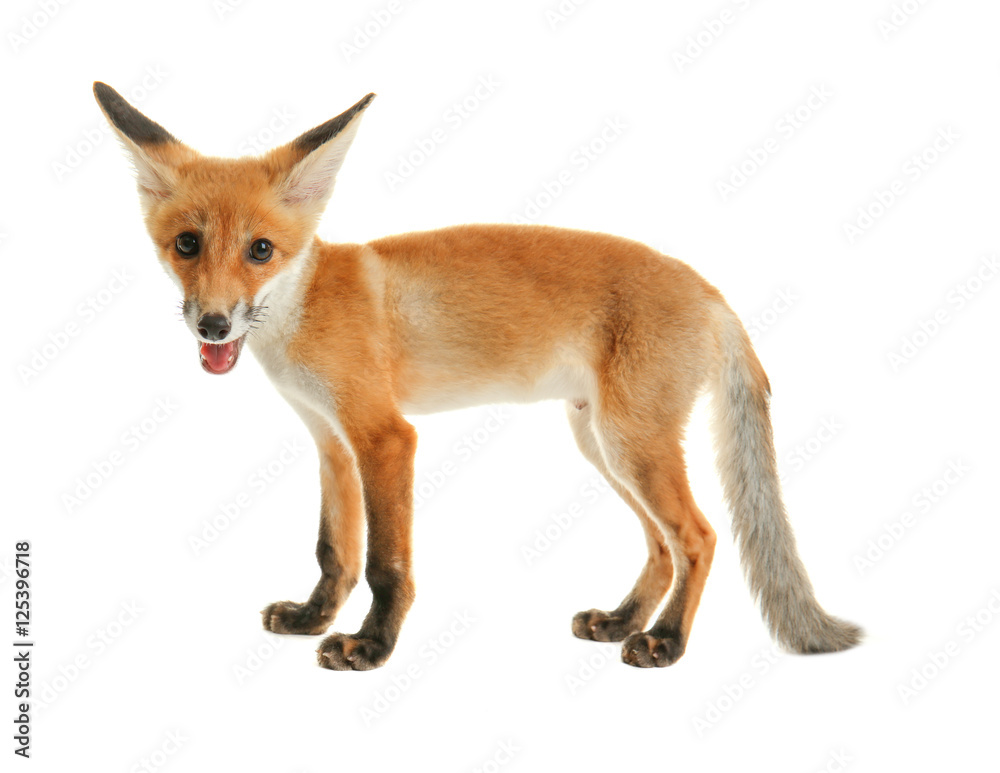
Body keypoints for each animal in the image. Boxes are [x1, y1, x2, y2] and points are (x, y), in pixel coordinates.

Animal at [94, 82, 861, 671]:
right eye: (186, 244)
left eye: (260, 251)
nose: (213, 325)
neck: (302, 312)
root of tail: (710, 290)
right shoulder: (332, 442)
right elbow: (334, 550)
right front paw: (314, 617)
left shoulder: (384, 437)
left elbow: (384, 563)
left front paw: (371, 647)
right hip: (604, 444)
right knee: (662, 546)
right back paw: (622, 621)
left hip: (631, 445)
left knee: (698, 538)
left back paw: (666, 641)